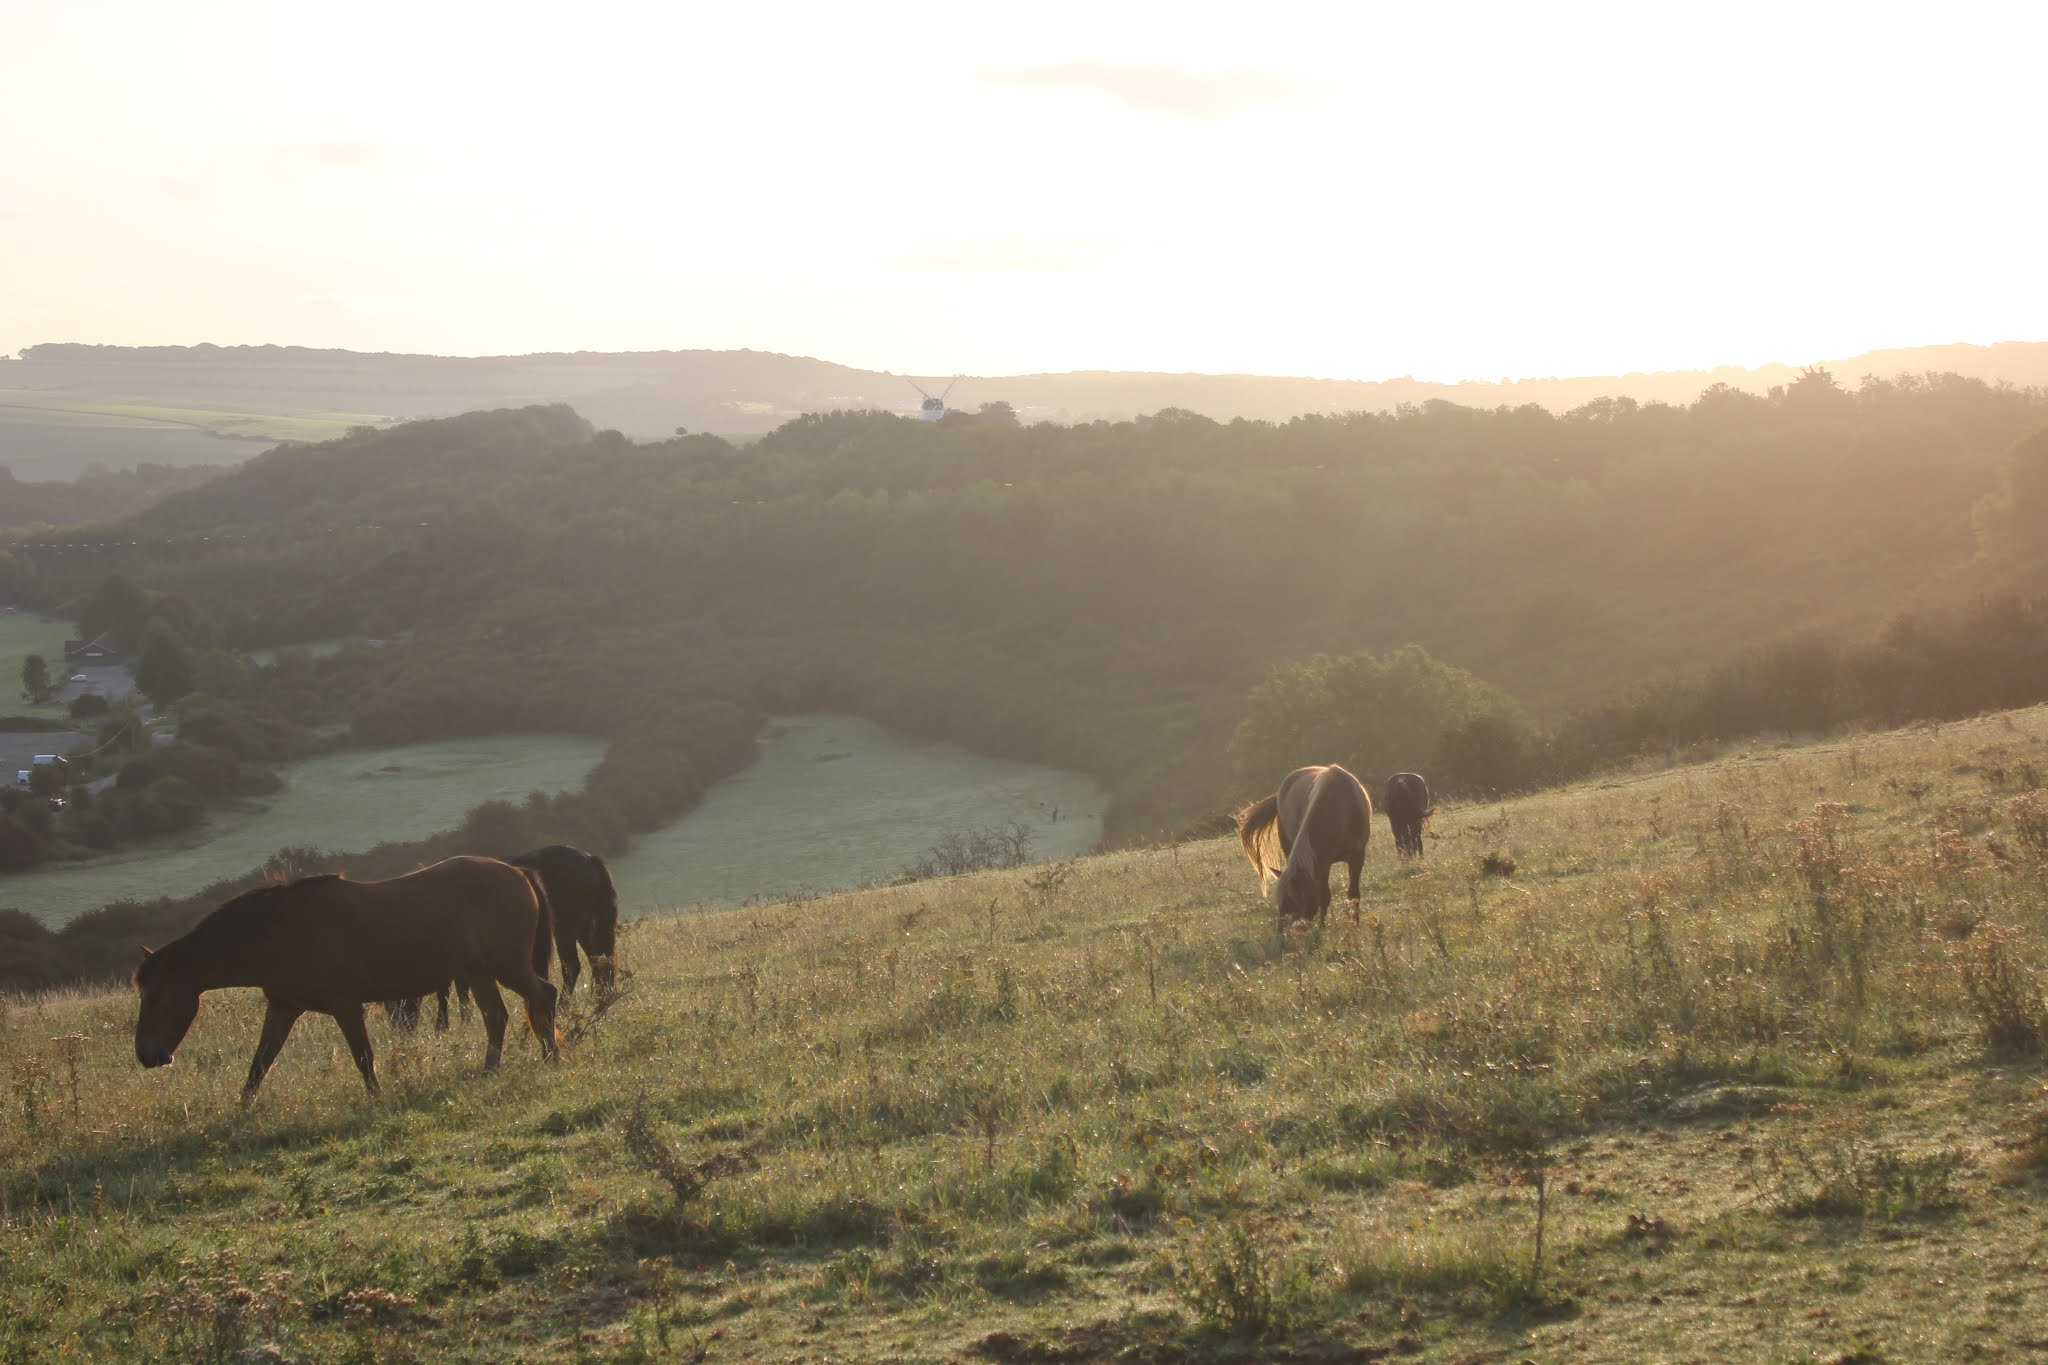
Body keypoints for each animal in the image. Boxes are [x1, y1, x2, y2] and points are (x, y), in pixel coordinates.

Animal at [136, 859, 561, 1105]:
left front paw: (375, 1099)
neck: (279, 932)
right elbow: (260, 1063)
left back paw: (552, 1059)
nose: (147, 1055)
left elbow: (362, 1056)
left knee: (544, 996)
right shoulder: (283, 1007)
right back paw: (492, 1070)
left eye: (158, 997)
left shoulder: (345, 1005)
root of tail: (518, 873)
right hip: (477, 971)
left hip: (507, 965)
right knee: (497, 1017)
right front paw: (242, 1110)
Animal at [1228, 769, 1376, 929]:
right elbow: (1324, 897)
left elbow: (1353, 895)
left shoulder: (1357, 857)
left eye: (1294, 902)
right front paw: (1321, 928)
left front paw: (1355, 925)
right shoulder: (1323, 863)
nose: (1280, 931)